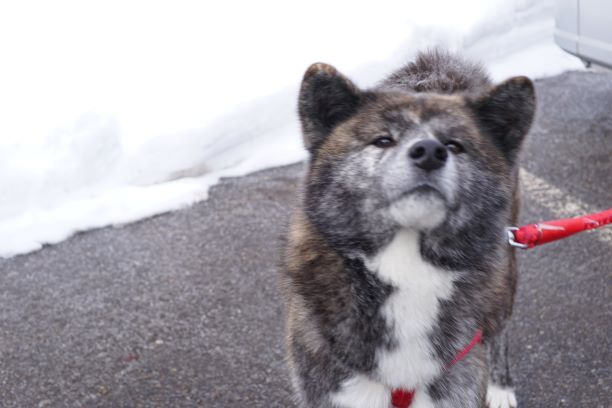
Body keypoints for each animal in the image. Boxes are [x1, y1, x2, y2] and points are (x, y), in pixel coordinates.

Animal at [282, 48, 536, 408]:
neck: (407, 265)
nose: (430, 152)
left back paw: (500, 388)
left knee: (499, 329)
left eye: (455, 145)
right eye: (382, 140)